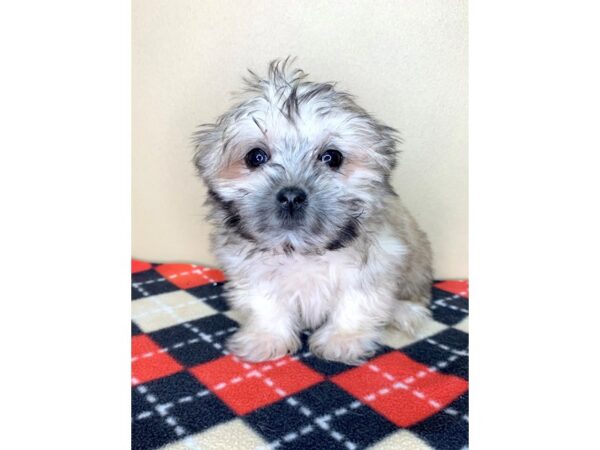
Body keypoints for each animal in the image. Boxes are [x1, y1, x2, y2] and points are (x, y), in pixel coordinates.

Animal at [192, 58, 432, 364]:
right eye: (255, 157)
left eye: (332, 157)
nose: (291, 196)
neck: (300, 249)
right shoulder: (253, 271)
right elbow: (265, 304)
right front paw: (267, 338)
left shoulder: (377, 261)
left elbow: (355, 303)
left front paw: (342, 339)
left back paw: (404, 313)